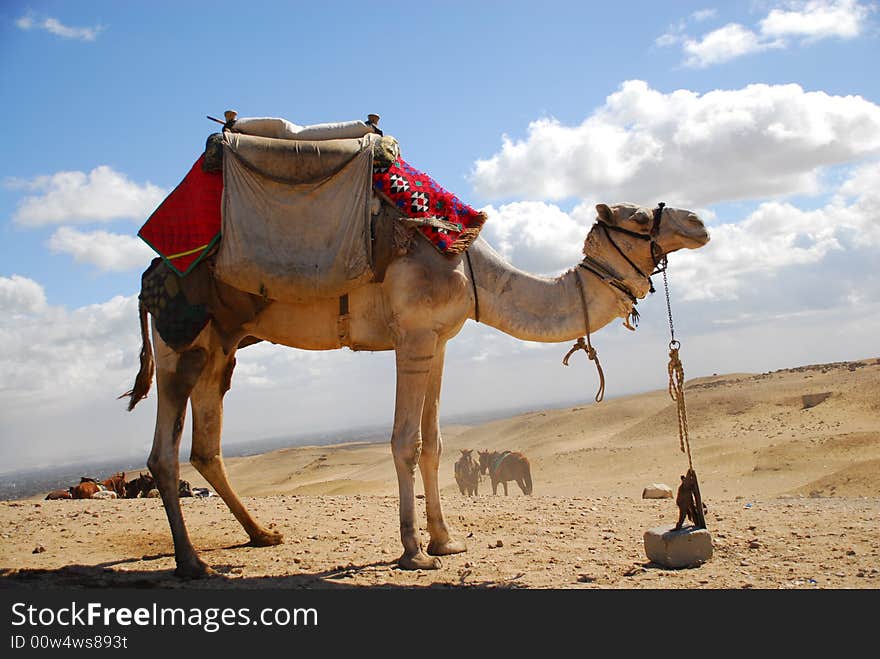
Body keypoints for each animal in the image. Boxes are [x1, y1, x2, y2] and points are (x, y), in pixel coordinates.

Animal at [122, 200, 708, 576]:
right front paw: (413, 551)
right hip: (182, 343)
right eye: (638, 216)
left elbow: (435, 444)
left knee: (207, 447)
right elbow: (405, 441)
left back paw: (262, 534)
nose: (699, 222)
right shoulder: (414, 334)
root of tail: (149, 277)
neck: (473, 274)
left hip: (221, 345)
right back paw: (191, 561)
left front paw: (446, 541)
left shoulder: (440, 341)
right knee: (163, 453)